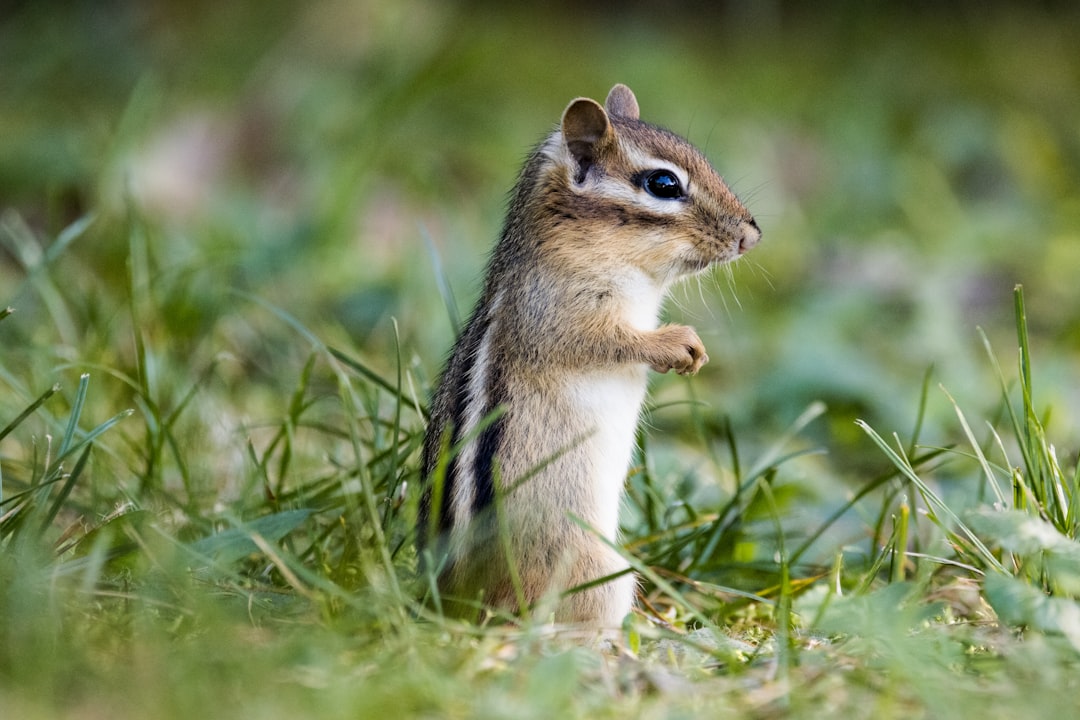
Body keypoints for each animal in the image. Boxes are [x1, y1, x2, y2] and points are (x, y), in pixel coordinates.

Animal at [418, 84, 760, 628]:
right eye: (664, 184)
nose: (751, 235)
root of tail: (459, 603)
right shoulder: (556, 310)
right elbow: (603, 340)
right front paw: (677, 343)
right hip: (599, 569)